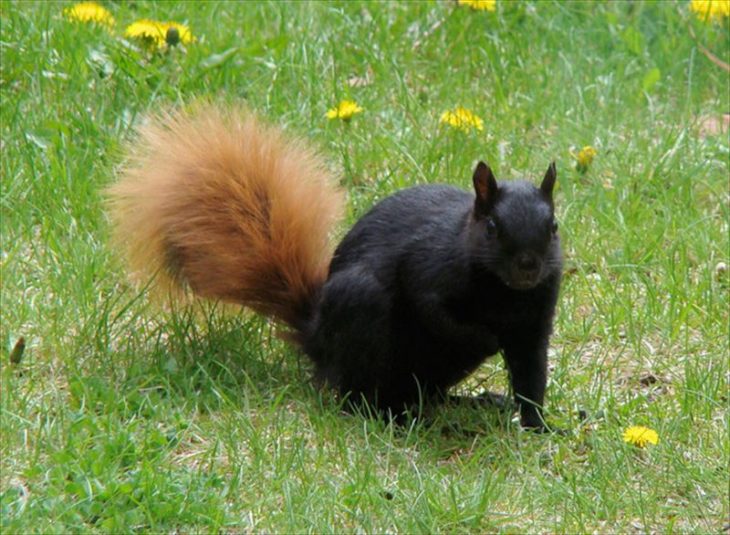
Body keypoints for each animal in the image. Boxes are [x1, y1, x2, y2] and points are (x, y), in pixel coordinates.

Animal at [108, 107, 560, 430]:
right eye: (492, 227)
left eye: (554, 226)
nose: (528, 266)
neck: (504, 292)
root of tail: (317, 337)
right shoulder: (428, 269)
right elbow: (438, 313)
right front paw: (486, 338)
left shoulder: (538, 315)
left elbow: (531, 374)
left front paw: (538, 427)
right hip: (361, 305)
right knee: (356, 396)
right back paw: (395, 418)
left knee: (415, 391)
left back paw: (465, 404)